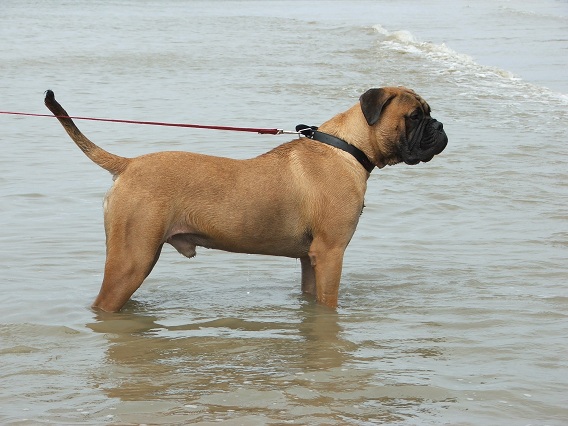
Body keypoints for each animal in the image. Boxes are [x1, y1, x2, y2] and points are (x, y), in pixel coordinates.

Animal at [45, 87, 447, 312]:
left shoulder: (310, 260)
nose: (441, 127)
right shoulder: (331, 254)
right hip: (132, 259)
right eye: (415, 116)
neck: (348, 146)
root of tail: (128, 164)